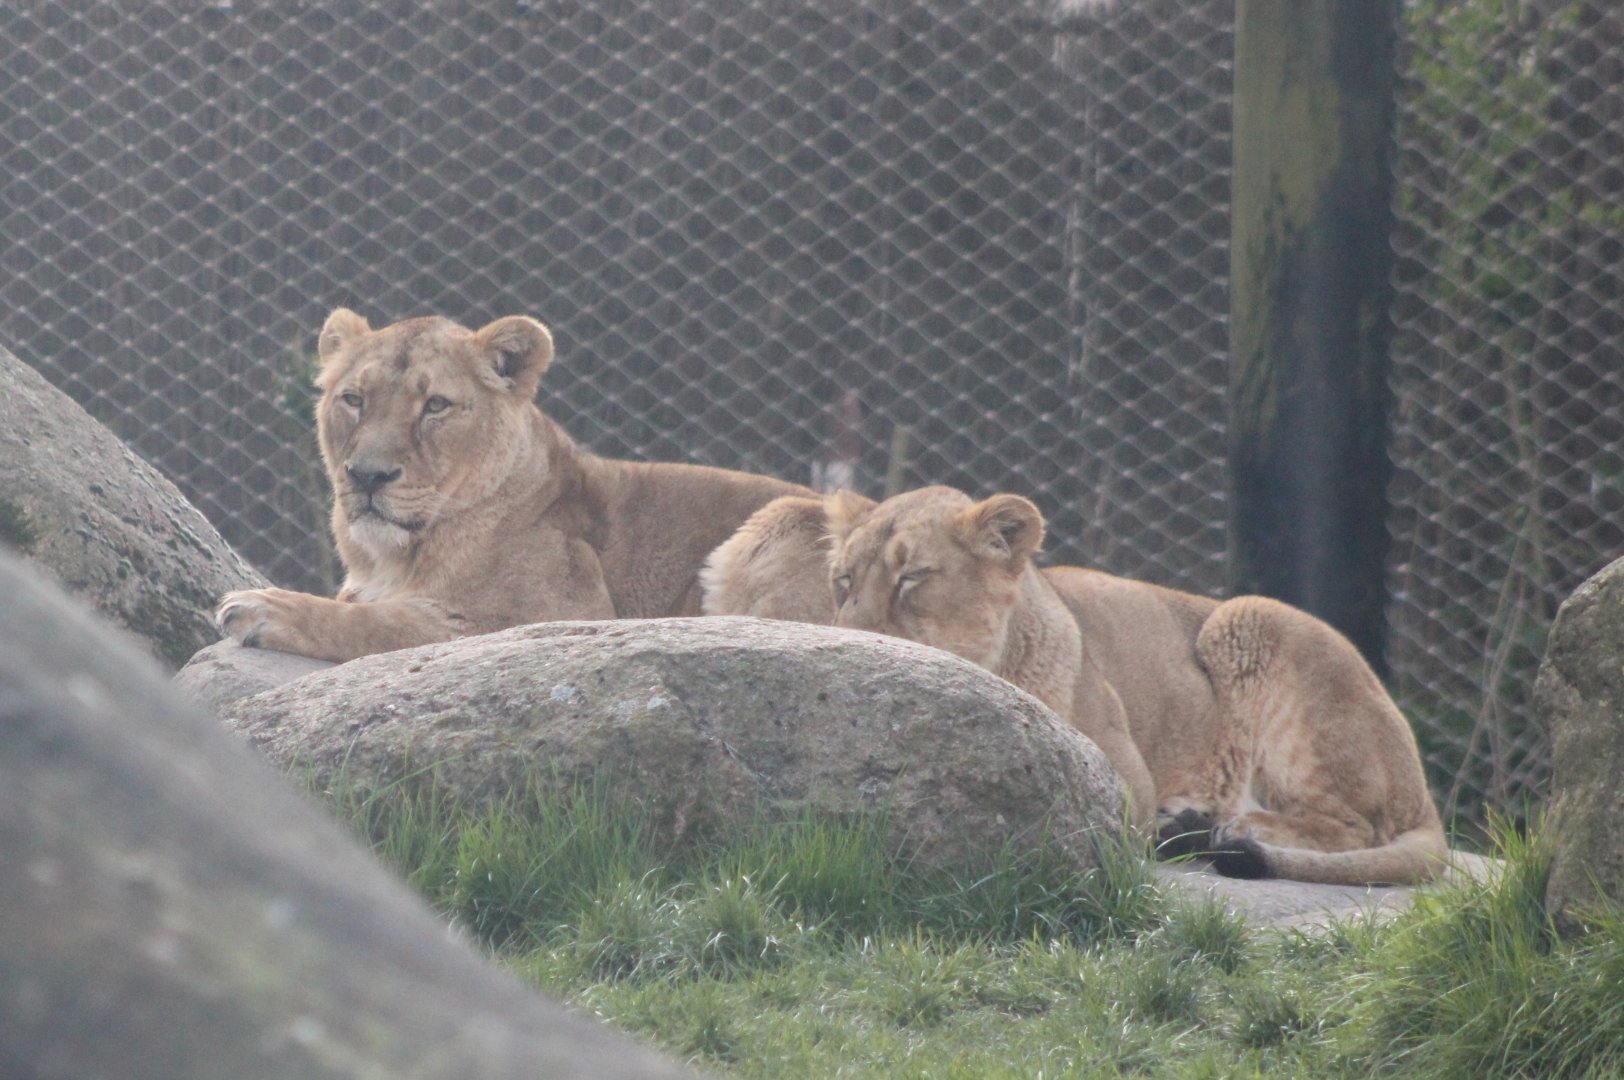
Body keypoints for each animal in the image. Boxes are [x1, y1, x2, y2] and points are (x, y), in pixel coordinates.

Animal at [216, 309, 807, 662]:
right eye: (354, 400)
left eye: (435, 405)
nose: (366, 476)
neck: (394, 556)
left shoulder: (551, 619)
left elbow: (378, 623)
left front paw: (263, 607)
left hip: (789, 516)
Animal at [705, 486, 1448, 886]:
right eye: (843, 580)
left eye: (911, 577)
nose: (848, 631)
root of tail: (1423, 791)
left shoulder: (1121, 776)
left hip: (1248, 616)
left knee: (1354, 825)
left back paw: (1223, 825)